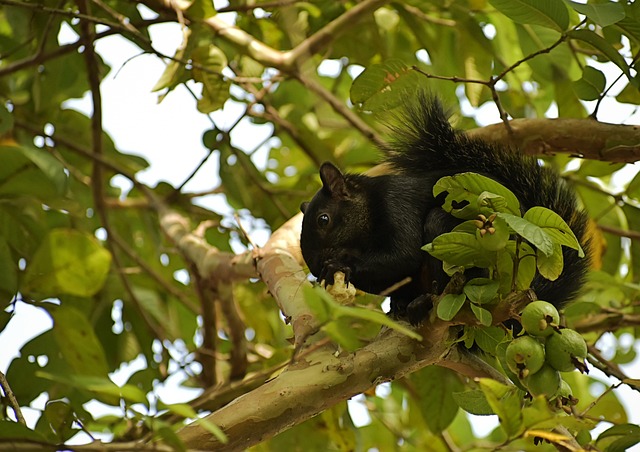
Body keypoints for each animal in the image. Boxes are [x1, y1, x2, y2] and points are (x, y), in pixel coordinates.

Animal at [300, 93, 592, 324]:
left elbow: (403, 256)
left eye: (323, 219)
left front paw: (340, 265)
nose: (315, 265)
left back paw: (426, 302)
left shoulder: (397, 204)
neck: (370, 205)